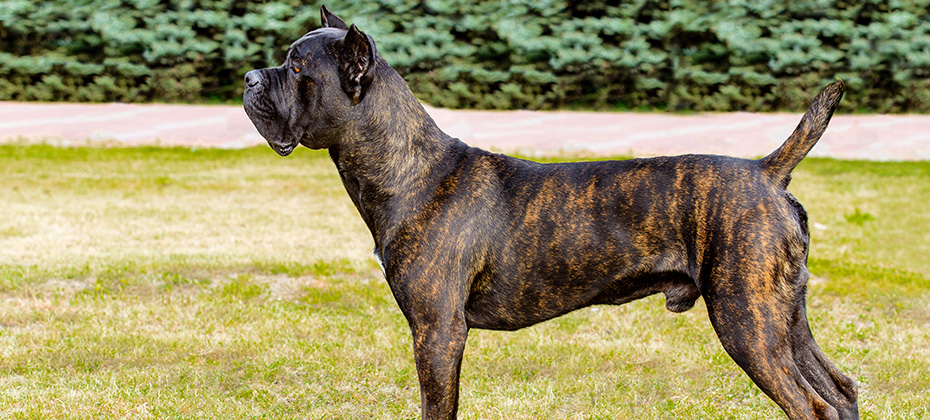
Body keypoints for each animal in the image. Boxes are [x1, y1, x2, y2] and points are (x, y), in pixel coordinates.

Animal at [243, 7, 860, 420]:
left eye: (296, 68)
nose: (250, 78)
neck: (410, 169)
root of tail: (767, 172)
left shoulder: (437, 334)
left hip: (747, 321)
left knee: (812, 406)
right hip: (785, 318)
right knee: (841, 391)